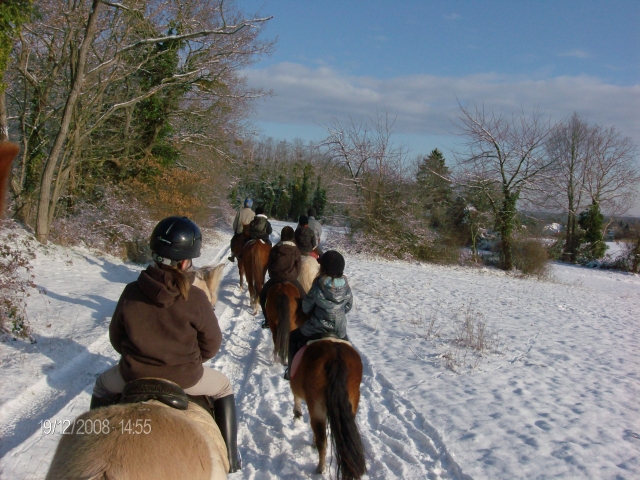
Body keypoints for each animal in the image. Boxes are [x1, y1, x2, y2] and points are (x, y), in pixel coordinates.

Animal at [290, 338, 366, 479]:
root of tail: (336, 357)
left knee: (322, 439)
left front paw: (297, 413)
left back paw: (320, 468)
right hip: (351, 403)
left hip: (317, 406)